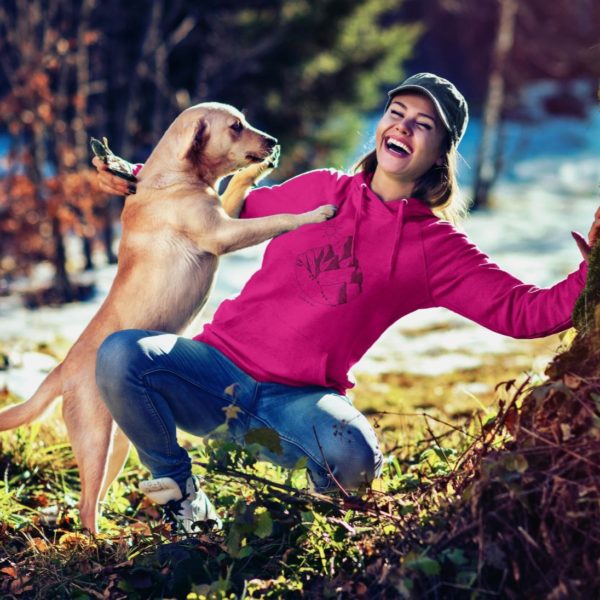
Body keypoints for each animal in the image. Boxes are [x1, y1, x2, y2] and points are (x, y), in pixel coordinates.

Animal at [0, 102, 338, 528]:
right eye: (235, 126)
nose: (273, 141)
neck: (176, 178)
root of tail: (61, 369)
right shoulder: (222, 234)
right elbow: (275, 221)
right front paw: (315, 214)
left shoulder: (223, 214)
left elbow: (236, 187)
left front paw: (256, 170)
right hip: (94, 441)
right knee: (85, 505)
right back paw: (100, 540)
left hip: (117, 446)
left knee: (98, 495)